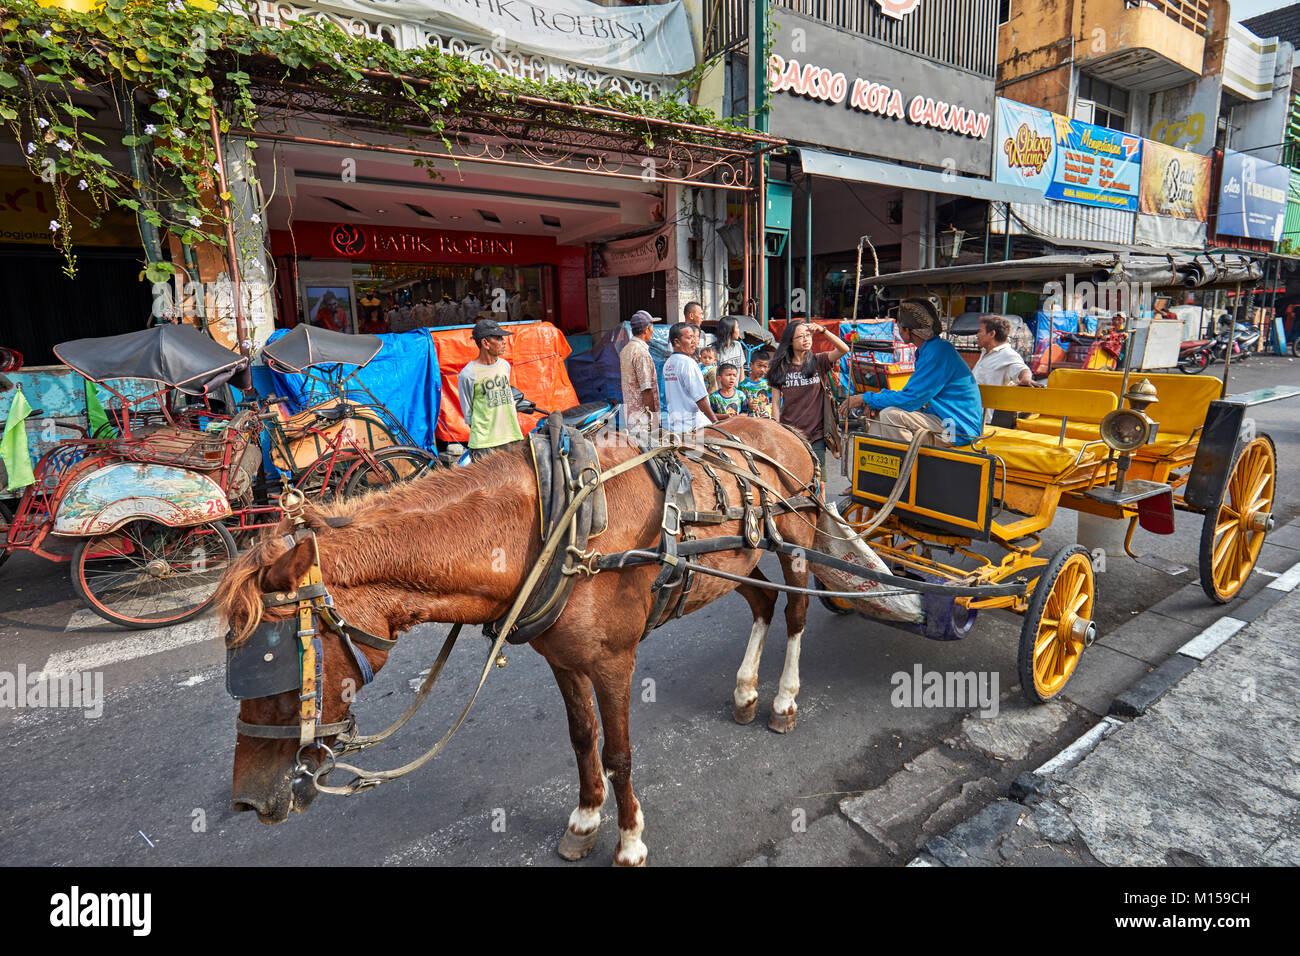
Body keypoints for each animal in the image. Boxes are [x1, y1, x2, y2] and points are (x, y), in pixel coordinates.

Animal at [218, 416, 816, 863]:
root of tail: (779, 426)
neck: (559, 525)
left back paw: (783, 699)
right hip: (733, 564)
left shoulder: (614, 662)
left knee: (795, 613)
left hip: (797, 544)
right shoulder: (564, 659)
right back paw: (746, 690)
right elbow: (582, 738)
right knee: (762, 603)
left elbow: (619, 753)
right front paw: (585, 819)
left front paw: (629, 841)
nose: (245, 800)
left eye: (270, 660)